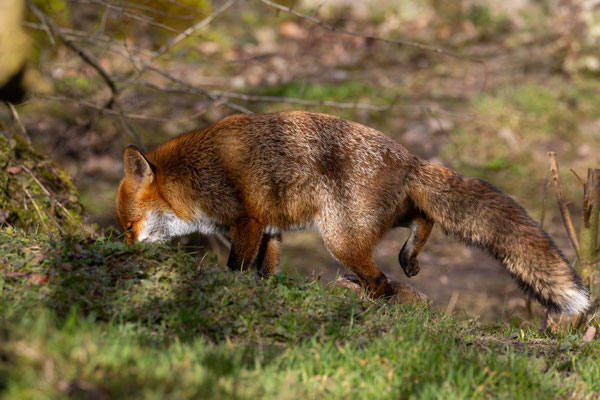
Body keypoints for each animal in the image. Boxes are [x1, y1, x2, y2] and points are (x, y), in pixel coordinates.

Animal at [115, 111, 590, 315]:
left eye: (130, 225)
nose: (123, 252)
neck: (192, 178)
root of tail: (410, 158)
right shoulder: (270, 227)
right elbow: (265, 270)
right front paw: (265, 291)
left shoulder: (247, 220)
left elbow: (237, 267)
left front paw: (233, 289)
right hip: (371, 223)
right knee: (423, 218)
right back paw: (409, 258)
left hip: (340, 239)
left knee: (380, 282)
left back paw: (371, 303)